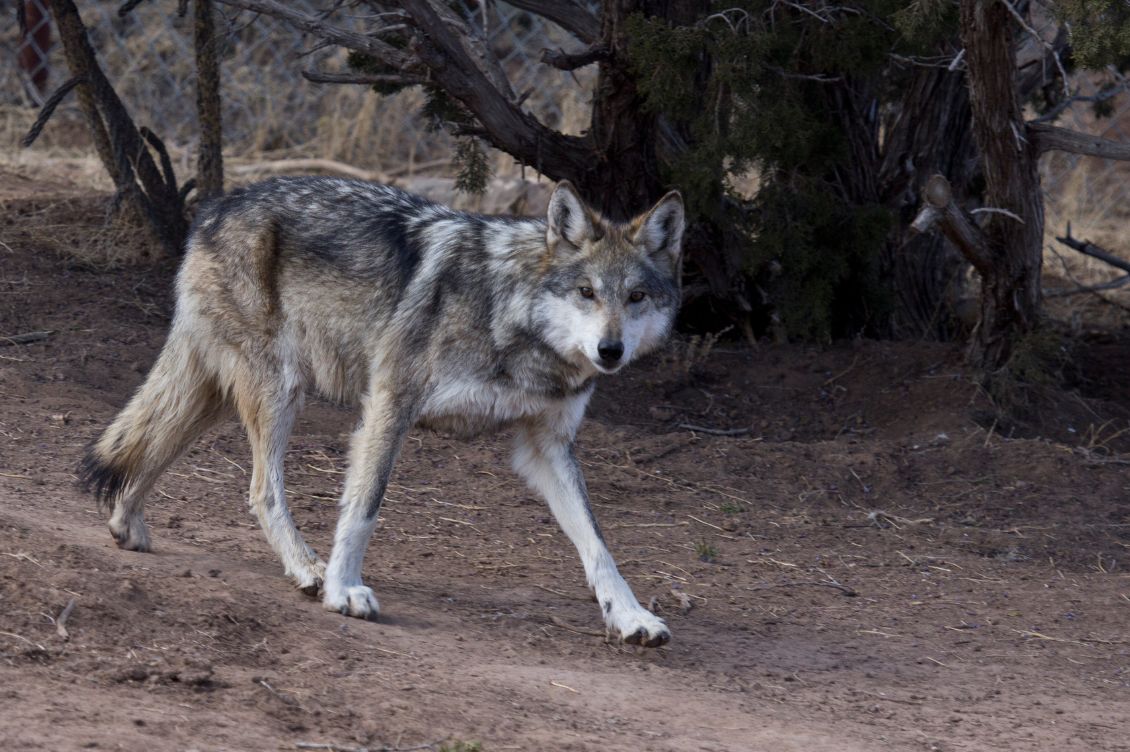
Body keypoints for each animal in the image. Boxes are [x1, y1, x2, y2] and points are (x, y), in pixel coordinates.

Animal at [80, 176, 684, 647]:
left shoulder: (547, 447)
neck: (508, 314)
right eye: (586, 292)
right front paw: (343, 589)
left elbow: (598, 544)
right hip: (278, 390)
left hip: (221, 394)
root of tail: (217, 207)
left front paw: (631, 617)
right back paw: (307, 568)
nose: (611, 351)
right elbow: (364, 507)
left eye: (635, 297)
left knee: (151, 446)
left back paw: (126, 524)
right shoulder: (391, 401)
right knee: (260, 490)